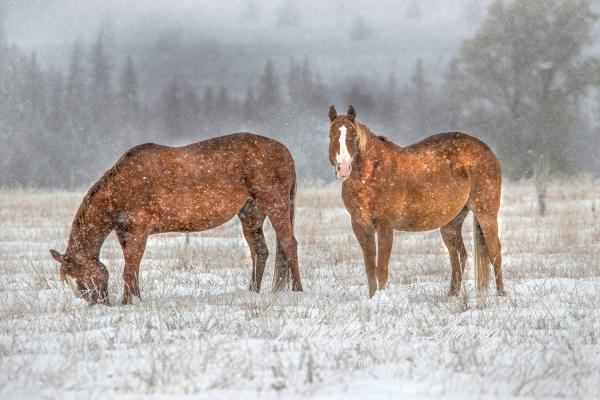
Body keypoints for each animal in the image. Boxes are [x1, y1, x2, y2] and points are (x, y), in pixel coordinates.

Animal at [50, 133, 304, 304]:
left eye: (82, 281)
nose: (99, 304)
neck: (123, 187)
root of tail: (285, 150)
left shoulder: (138, 232)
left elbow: (129, 270)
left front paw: (127, 303)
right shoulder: (125, 235)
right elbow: (133, 268)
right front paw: (136, 299)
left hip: (275, 204)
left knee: (289, 244)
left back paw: (298, 290)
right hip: (250, 214)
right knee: (260, 252)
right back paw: (252, 292)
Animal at [330, 104, 504, 298]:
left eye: (353, 136)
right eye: (331, 136)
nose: (343, 169)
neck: (372, 172)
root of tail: (488, 151)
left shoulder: (385, 227)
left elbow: (381, 269)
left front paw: (381, 298)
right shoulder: (361, 227)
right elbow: (370, 269)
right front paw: (372, 297)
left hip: (486, 214)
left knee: (494, 250)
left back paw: (501, 294)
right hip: (451, 223)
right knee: (458, 255)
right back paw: (452, 294)